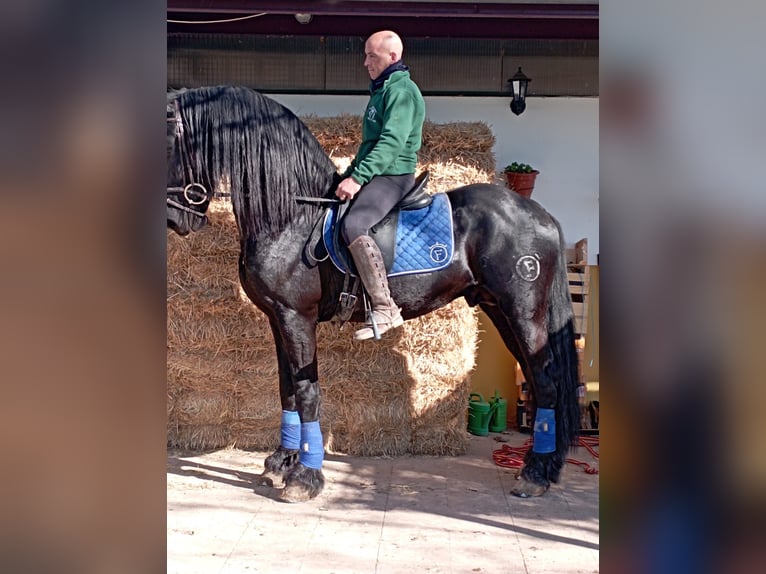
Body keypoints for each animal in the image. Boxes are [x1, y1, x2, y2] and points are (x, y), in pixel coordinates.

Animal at [167, 85, 581, 502]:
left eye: (170, 138)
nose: (175, 219)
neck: (292, 216)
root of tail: (539, 214)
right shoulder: (277, 318)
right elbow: (287, 389)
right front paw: (280, 462)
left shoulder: (296, 318)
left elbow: (307, 391)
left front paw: (305, 476)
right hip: (502, 311)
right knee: (540, 381)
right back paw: (543, 466)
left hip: (523, 312)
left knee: (546, 382)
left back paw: (535, 473)